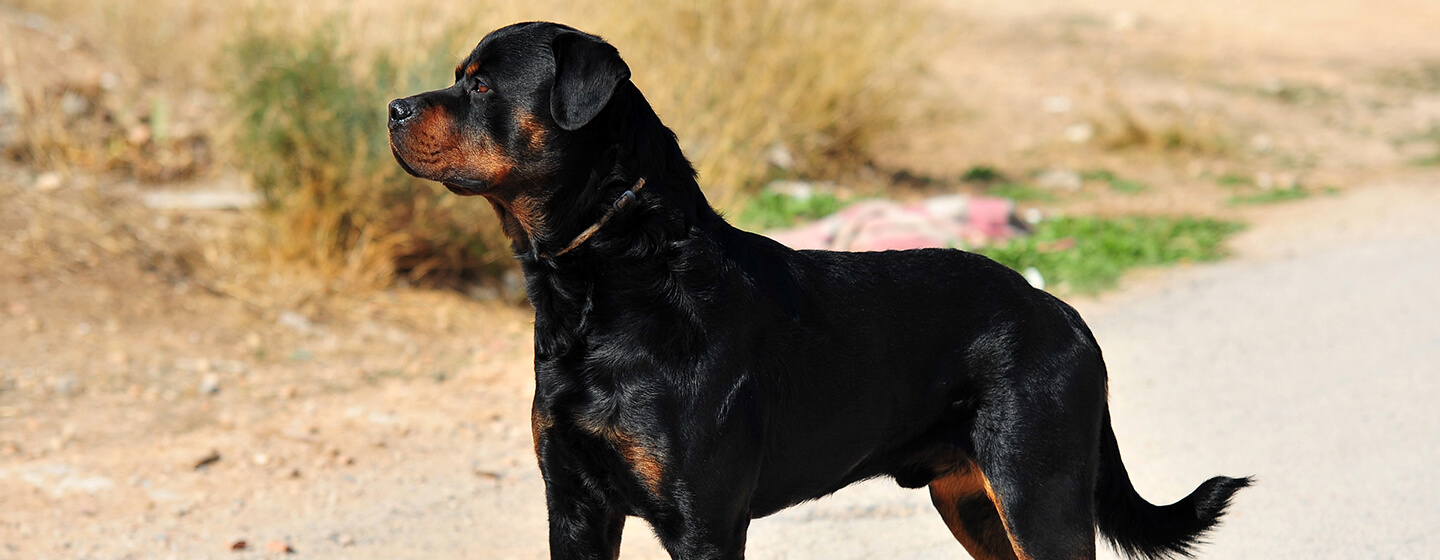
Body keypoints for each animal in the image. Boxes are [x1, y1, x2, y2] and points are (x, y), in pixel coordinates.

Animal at [391, 21, 1249, 558]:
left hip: (1038, 492)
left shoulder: (704, 520)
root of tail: (1065, 312)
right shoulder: (574, 509)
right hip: (974, 501)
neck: (606, 276)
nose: (394, 106)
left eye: (481, 87)